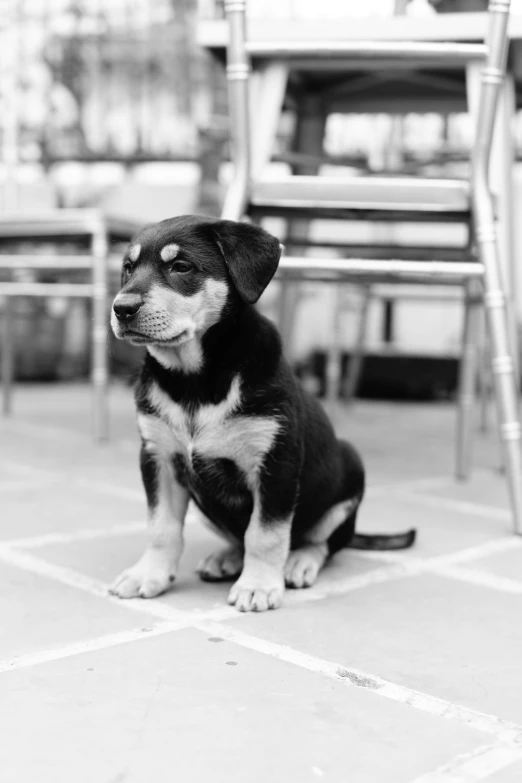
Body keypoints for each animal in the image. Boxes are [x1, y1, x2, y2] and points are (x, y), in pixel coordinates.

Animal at [109, 214, 414, 612]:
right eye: (128, 268)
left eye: (181, 267)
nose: (121, 308)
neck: (195, 380)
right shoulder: (157, 457)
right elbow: (162, 527)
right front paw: (148, 575)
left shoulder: (275, 463)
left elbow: (265, 534)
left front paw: (257, 586)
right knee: (239, 538)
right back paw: (226, 558)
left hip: (349, 473)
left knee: (323, 541)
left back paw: (299, 562)